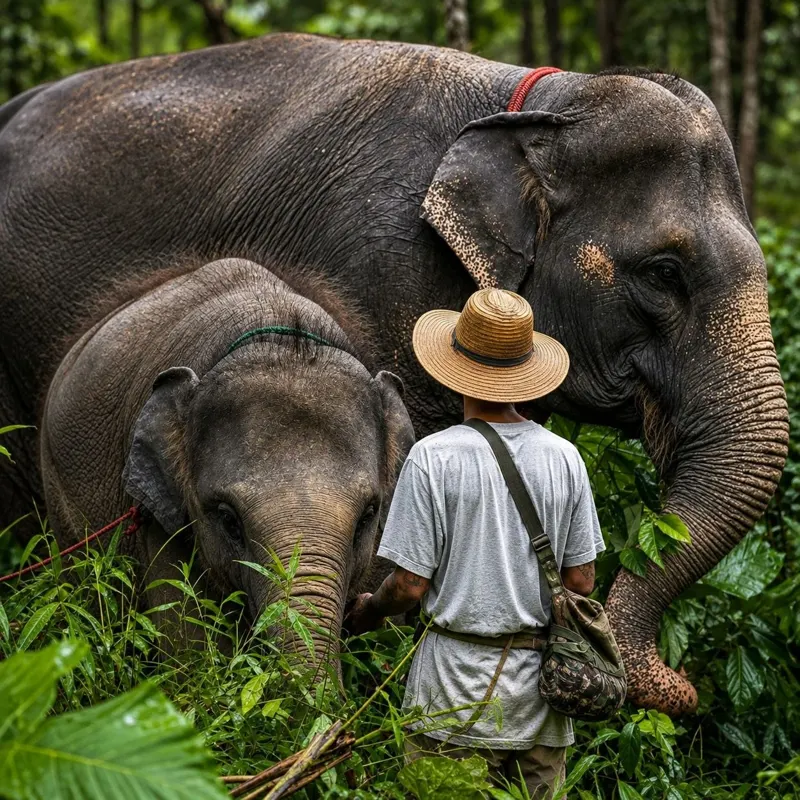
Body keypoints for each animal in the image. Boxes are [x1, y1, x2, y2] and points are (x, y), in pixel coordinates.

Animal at [38, 256, 414, 655]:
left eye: (367, 517)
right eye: (228, 520)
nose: (353, 615)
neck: (281, 333)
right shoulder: (163, 520)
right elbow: (187, 641)